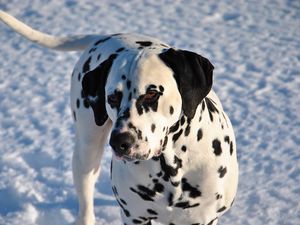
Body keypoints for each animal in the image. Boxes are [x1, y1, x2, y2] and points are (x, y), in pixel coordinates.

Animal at [0, 11, 239, 225]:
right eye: (112, 97)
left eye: (152, 94)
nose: (120, 142)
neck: (171, 168)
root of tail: (104, 37)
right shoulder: (134, 216)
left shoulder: (203, 219)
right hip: (87, 150)